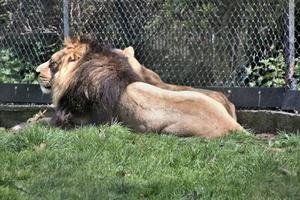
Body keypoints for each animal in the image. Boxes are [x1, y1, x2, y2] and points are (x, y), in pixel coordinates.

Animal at [36, 35, 244, 138]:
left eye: (52, 63)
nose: (36, 72)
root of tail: (234, 126)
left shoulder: (84, 121)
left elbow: (41, 122)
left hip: (170, 131)